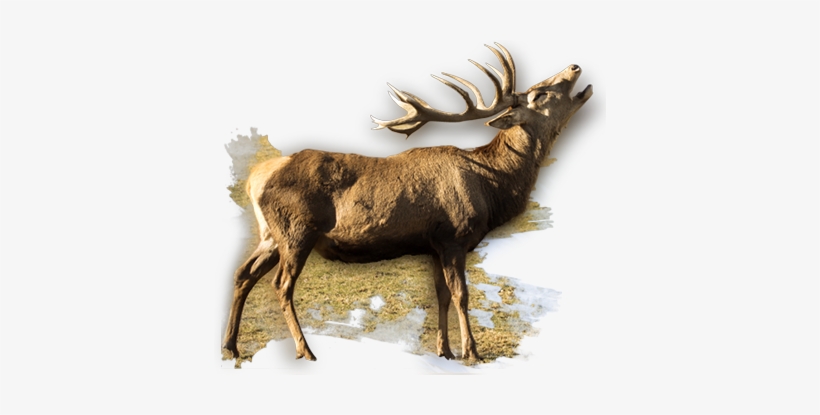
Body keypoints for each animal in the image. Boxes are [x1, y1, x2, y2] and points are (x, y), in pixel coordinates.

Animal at [222, 43, 592, 363]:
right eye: (540, 94)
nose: (575, 66)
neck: (492, 187)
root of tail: (255, 177)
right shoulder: (454, 236)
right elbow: (461, 295)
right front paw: (471, 351)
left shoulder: (433, 244)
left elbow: (441, 294)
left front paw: (445, 351)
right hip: (297, 230)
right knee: (280, 285)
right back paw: (305, 350)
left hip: (270, 234)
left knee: (243, 273)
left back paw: (230, 345)